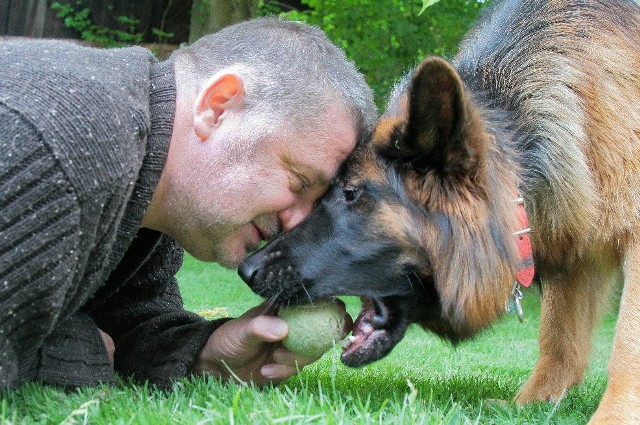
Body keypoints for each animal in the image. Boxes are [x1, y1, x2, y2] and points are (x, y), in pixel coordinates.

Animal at [240, 0, 640, 420]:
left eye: (350, 193)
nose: (246, 269)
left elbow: (625, 343)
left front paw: (613, 415)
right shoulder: (572, 245)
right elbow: (557, 339)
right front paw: (531, 404)